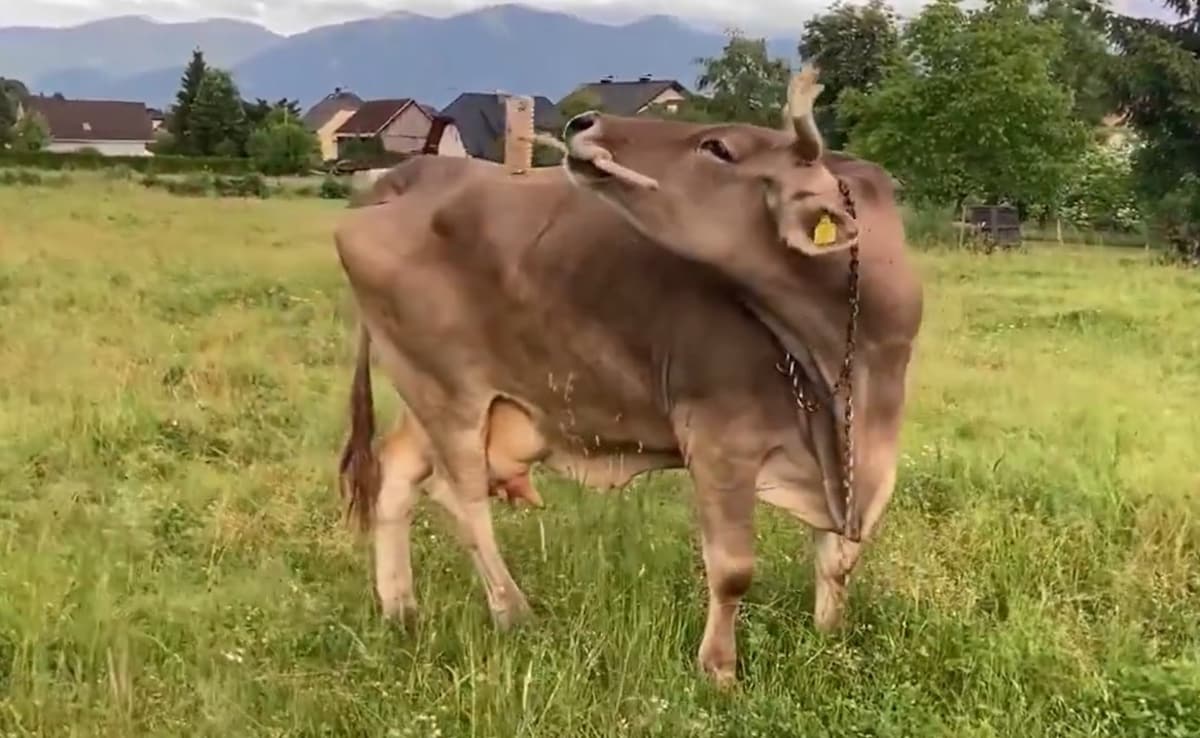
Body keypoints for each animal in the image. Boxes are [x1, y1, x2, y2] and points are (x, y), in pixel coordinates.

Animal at [332, 67, 922, 685]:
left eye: (718, 148)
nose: (585, 122)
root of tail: (412, 175)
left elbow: (838, 560)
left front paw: (829, 638)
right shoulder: (720, 439)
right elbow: (733, 568)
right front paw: (719, 671)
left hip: (436, 393)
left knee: (397, 473)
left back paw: (401, 609)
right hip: (447, 392)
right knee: (461, 498)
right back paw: (514, 612)